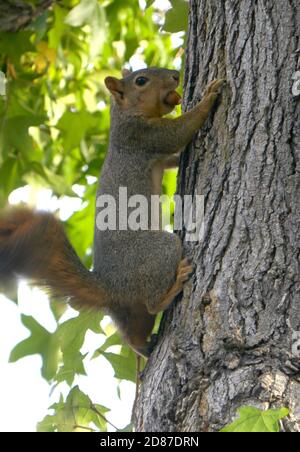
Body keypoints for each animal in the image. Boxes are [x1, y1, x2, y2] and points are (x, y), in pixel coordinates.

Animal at [0, 67, 224, 356]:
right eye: (141, 81)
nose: (176, 75)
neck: (124, 116)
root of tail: (111, 288)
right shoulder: (140, 136)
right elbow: (180, 131)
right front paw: (209, 96)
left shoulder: (157, 152)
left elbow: (173, 157)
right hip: (158, 251)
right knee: (153, 302)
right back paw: (173, 288)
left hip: (129, 313)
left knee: (135, 331)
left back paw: (143, 345)